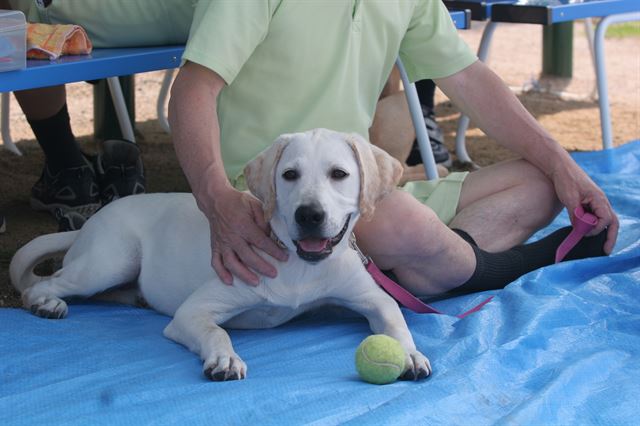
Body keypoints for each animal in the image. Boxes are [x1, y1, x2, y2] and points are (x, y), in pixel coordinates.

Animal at [10, 128, 430, 382]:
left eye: (339, 174)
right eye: (289, 175)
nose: (309, 215)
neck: (298, 265)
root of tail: (91, 221)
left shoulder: (371, 298)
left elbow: (395, 319)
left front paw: (409, 353)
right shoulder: (192, 312)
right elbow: (217, 331)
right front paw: (225, 359)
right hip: (109, 262)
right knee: (43, 285)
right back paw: (47, 304)